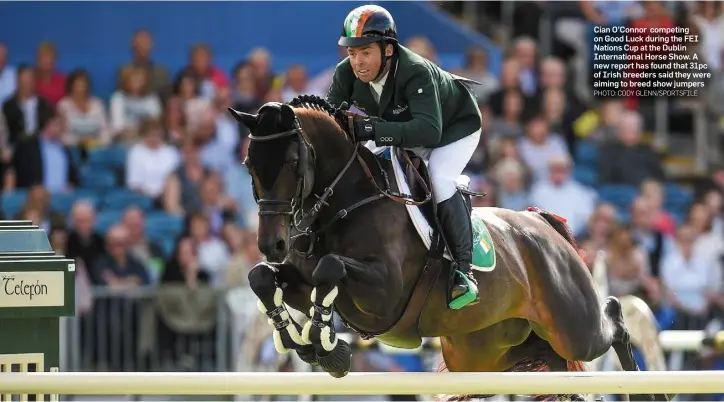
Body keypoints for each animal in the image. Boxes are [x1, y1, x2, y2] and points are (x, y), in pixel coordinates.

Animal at [230, 95, 668, 402]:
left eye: (291, 162)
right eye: (250, 165)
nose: (273, 243)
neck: (345, 201)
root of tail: (542, 223)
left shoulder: (383, 295)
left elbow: (331, 268)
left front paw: (327, 345)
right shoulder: (301, 279)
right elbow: (263, 278)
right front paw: (298, 340)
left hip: (573, 327)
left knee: (615, 320)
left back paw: (650, 389)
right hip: (486, 353)